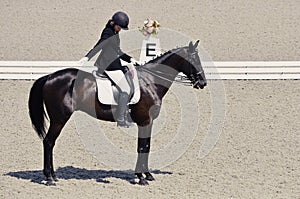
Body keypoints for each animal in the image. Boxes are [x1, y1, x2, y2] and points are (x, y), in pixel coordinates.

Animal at [28, 40, 206, 185]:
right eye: (195, 60)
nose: (203, 82)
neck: (151, 81)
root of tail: (50, 76)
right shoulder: (144, 121)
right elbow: (142, 147)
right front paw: (141, 177)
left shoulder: (148, 122)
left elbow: (146, 146)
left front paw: (147, 175)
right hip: (59, 118)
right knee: (49, 142)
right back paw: (50, 178)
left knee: (49, 142)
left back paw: (53, 176)